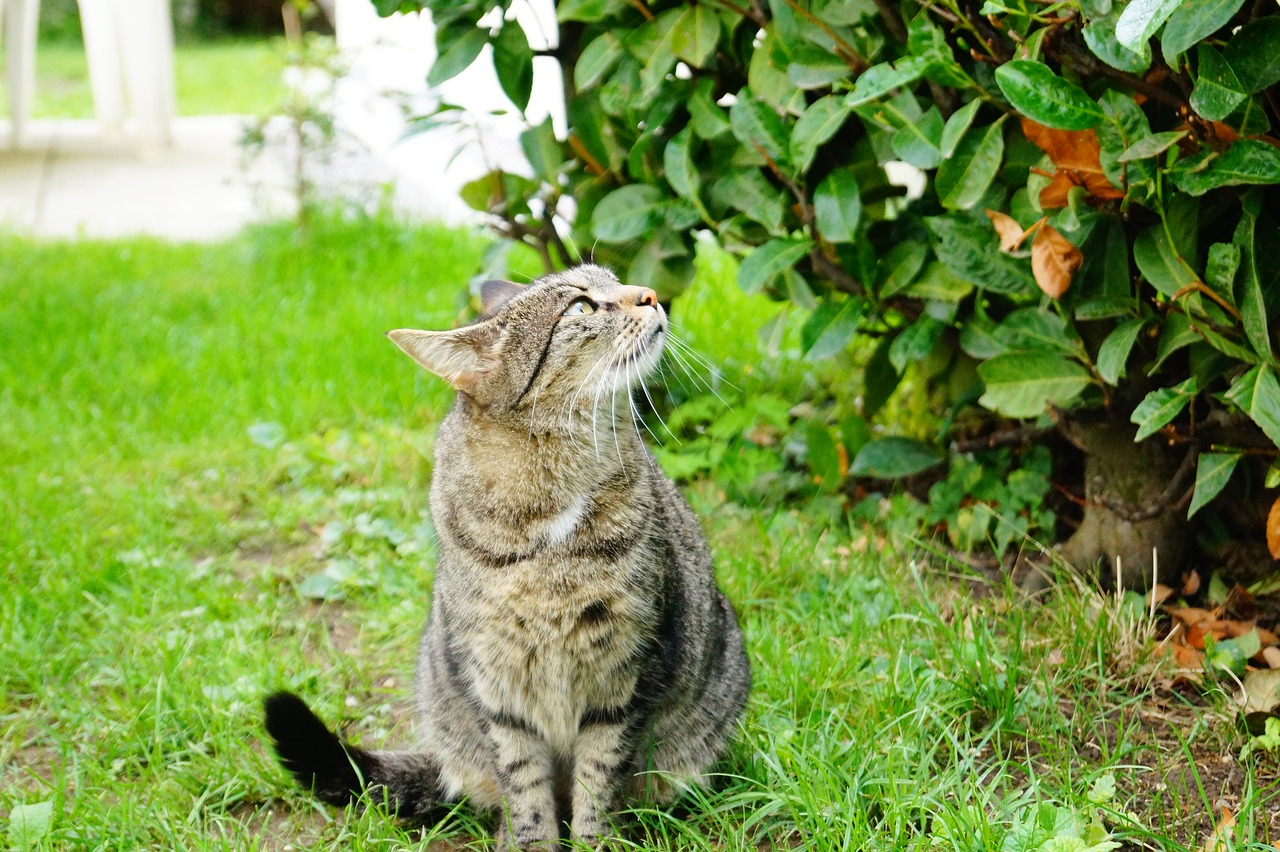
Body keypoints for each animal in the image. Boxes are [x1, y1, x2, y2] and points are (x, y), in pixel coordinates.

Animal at [266, 263, 752, 844]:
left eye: (614, 279)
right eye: (580, 307)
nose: (652, 295)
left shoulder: (628, 674)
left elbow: (598, 784)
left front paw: (596, 842)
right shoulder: (495, 688)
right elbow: (524, 791)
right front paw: (530, 842)